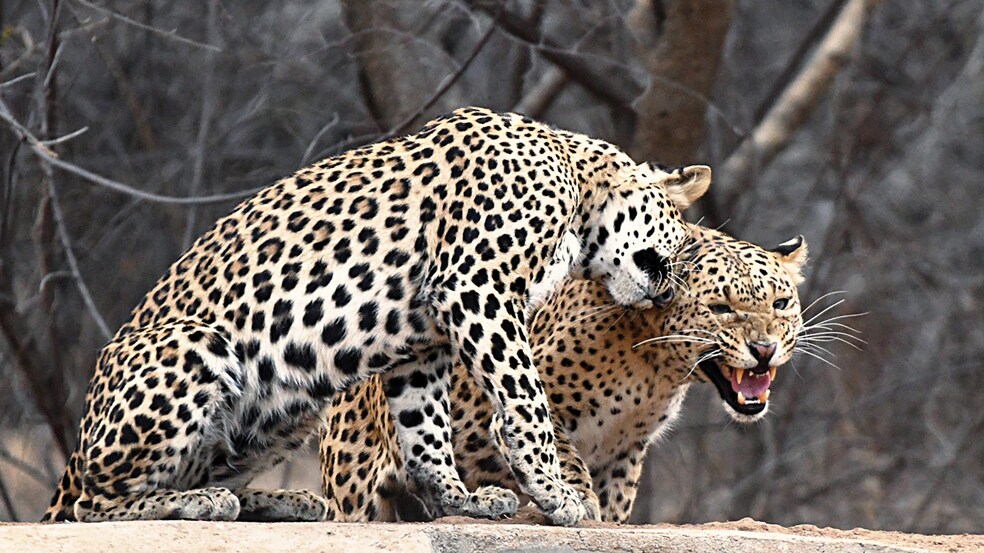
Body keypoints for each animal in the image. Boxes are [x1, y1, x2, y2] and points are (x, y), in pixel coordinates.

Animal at [40, 106, 712, 526]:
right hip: (196, 345)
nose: (665, 292)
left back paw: (282, 502)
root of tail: (78, 444)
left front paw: (459, 501)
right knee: (94, 504)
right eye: (679, 244)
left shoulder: (427, 342)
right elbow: (526, 403)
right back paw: (204, 503)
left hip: (283, 414)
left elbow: (425, 430)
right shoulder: (478, 290)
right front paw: (558, 493)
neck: (577, 186)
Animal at [319, 224, 808, 523]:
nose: (764, 350)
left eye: (781, 303)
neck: (657, 370)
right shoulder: (512, 404)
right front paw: (576, 501)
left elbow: (616, 500)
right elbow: (558, 449)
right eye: (720, 308)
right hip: (356, 490)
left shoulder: (626, 450)